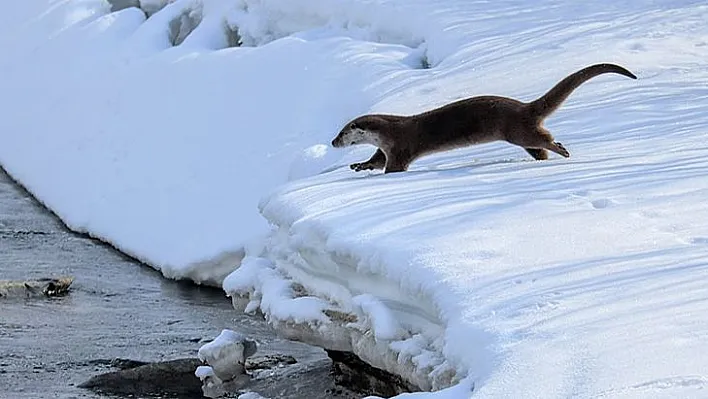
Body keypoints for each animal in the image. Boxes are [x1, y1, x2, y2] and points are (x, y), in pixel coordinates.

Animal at [332, 63, 636, 173]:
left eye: (342, 132)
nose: (334, 142)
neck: (388, 132)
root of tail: (525, 107)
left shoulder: (400, 147)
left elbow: (393, 168)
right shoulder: (384, 148)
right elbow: (375, 160)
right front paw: (359, 165)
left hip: (516, 130)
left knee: (544, 138)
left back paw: (562, 150)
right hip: (523, 133)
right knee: (538, 145)